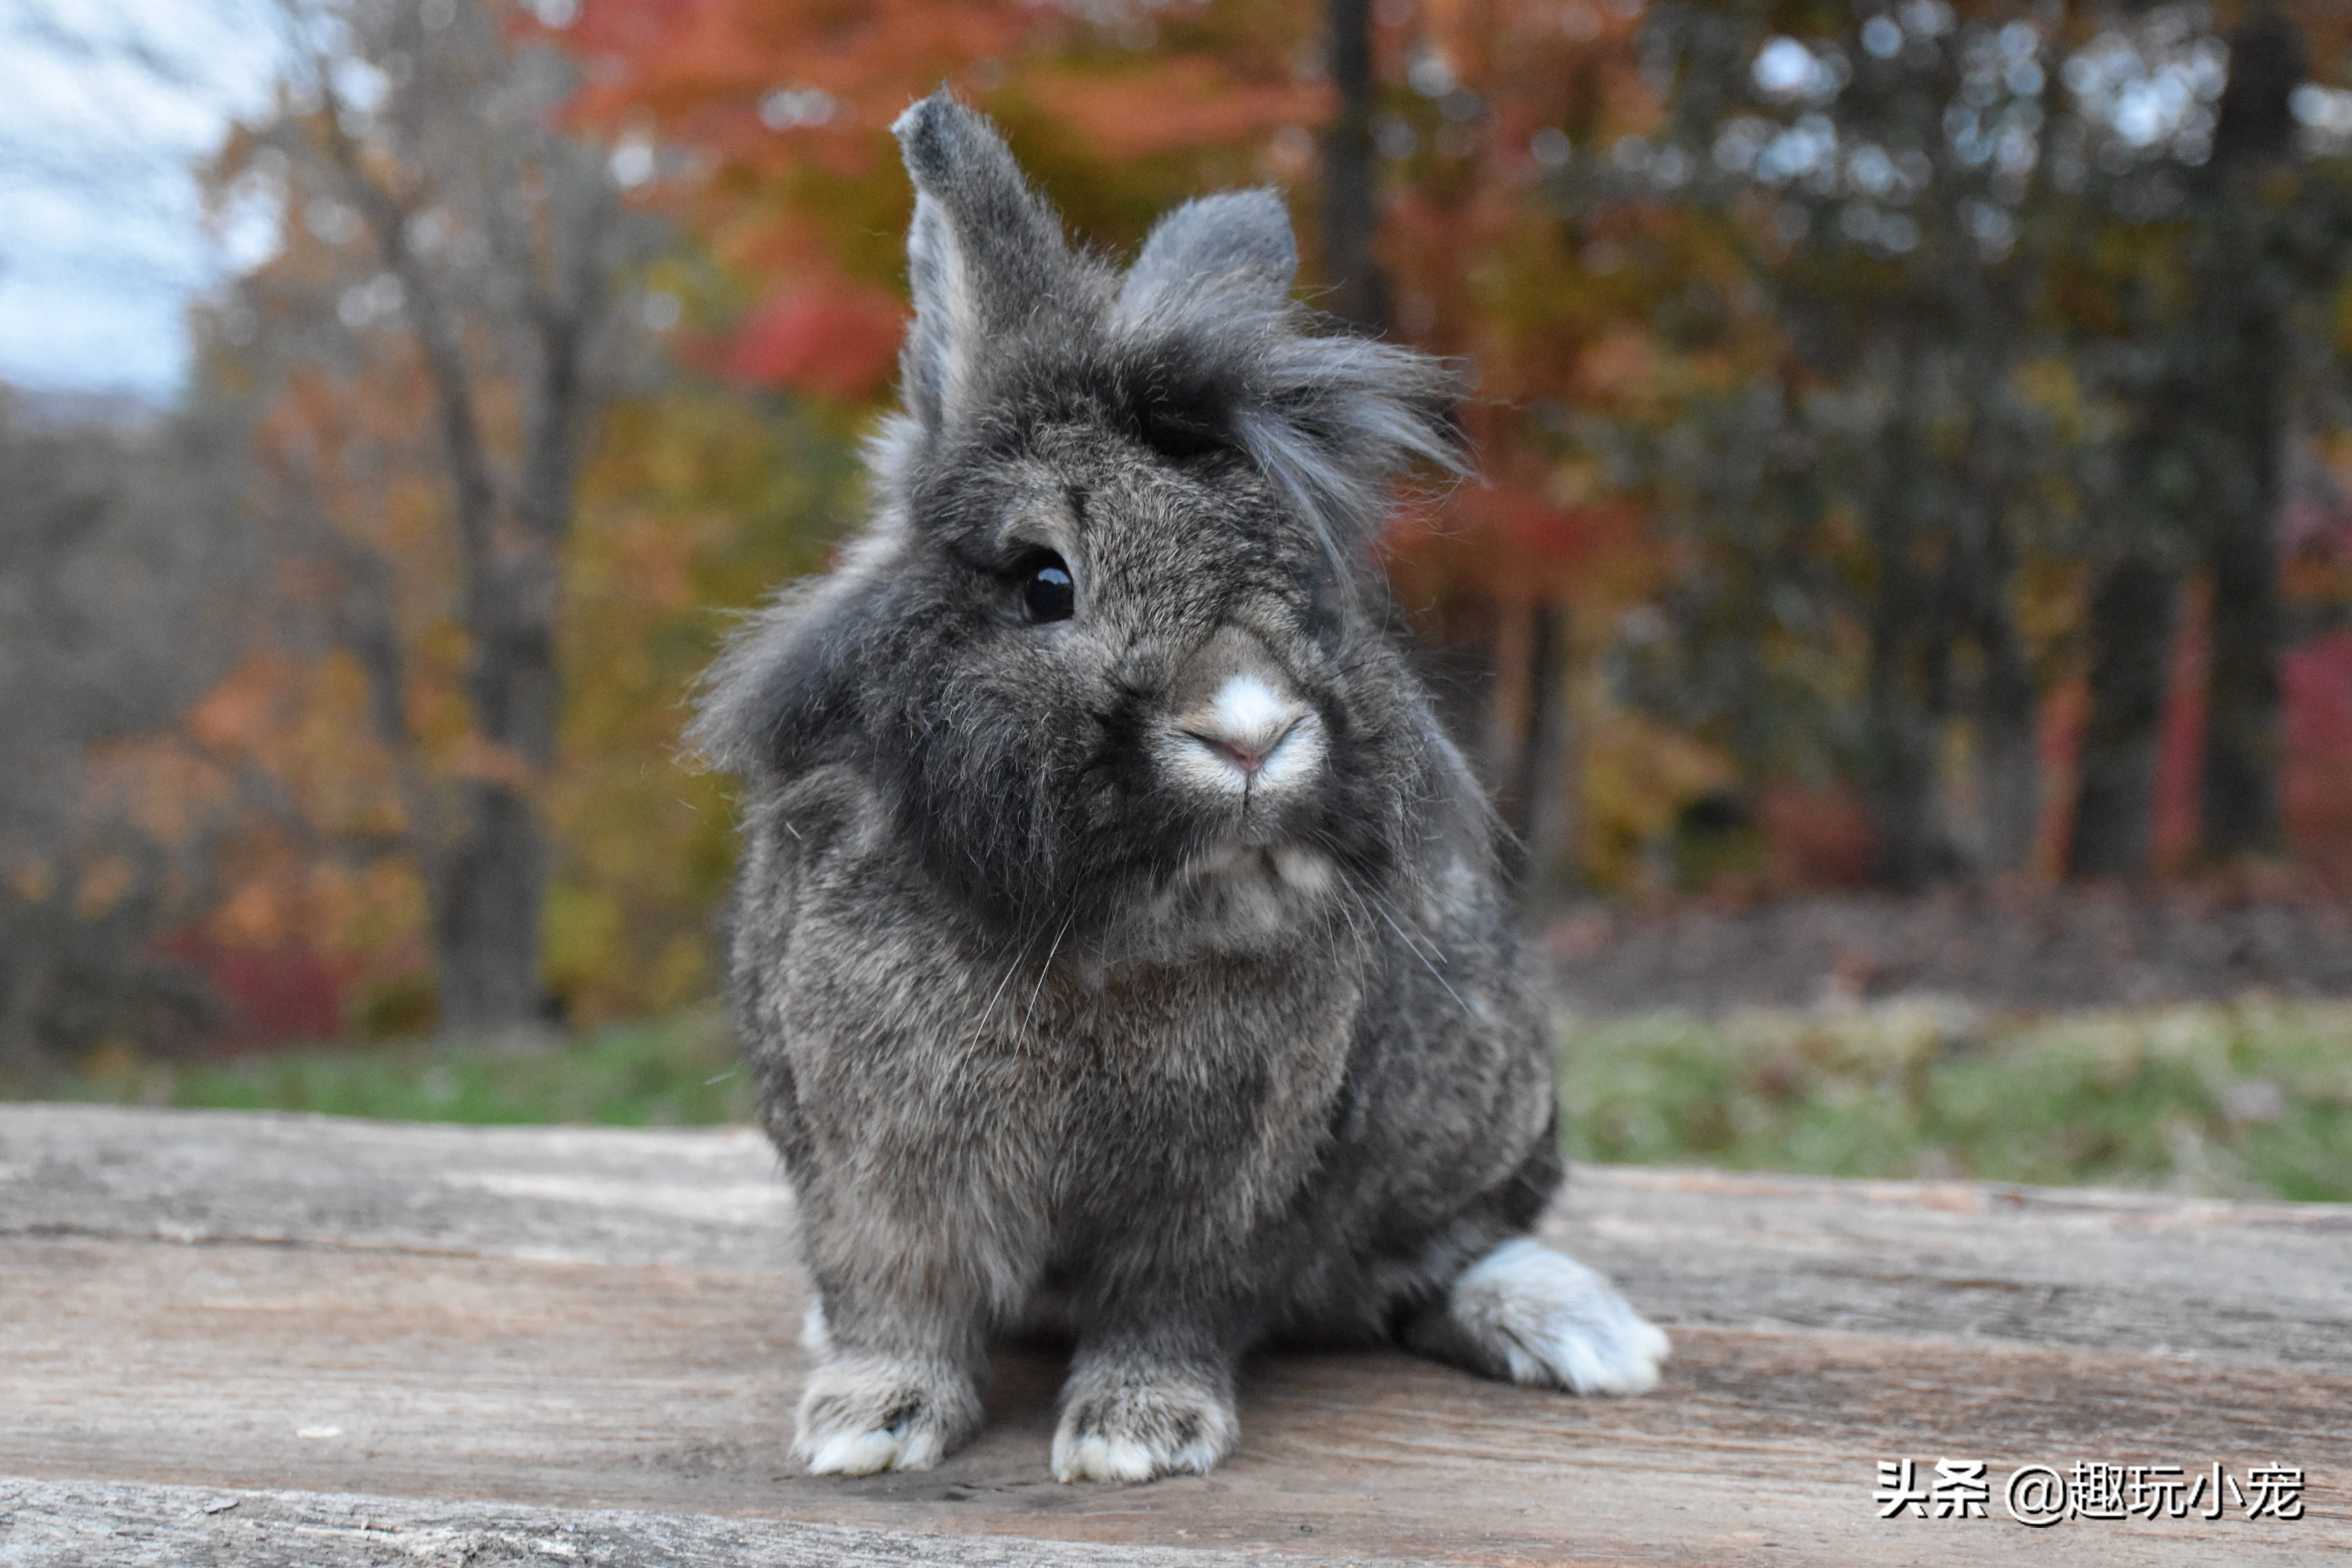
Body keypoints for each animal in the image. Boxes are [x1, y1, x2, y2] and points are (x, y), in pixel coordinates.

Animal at [686, 86, 1665, 1486]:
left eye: (1317, 586)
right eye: (1045, 580)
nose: (1251, 732)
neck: (1110, 924)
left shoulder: (1227, 1191)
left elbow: (1171, 1308)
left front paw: (1136, 1438)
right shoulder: (878, 1167)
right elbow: (900, 1297)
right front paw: (866, 1425)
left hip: (1472, 1107)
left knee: (1439, 1255)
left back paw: (1578, 1332)